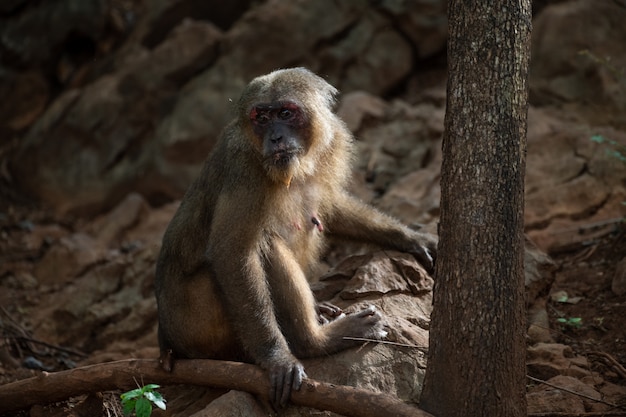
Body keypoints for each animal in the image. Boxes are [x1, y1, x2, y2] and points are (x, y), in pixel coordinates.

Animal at [154, 66, 436, 408]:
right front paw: (277, 357)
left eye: (286, 113)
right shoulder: (245, 170)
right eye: (261, 117)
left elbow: (330, 207)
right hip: (198, 326)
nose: (275, 137)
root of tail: (167, 339)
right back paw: (313, 342)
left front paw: (409, 236)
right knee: (265, 245)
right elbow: (232, 253)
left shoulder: (331, 142)